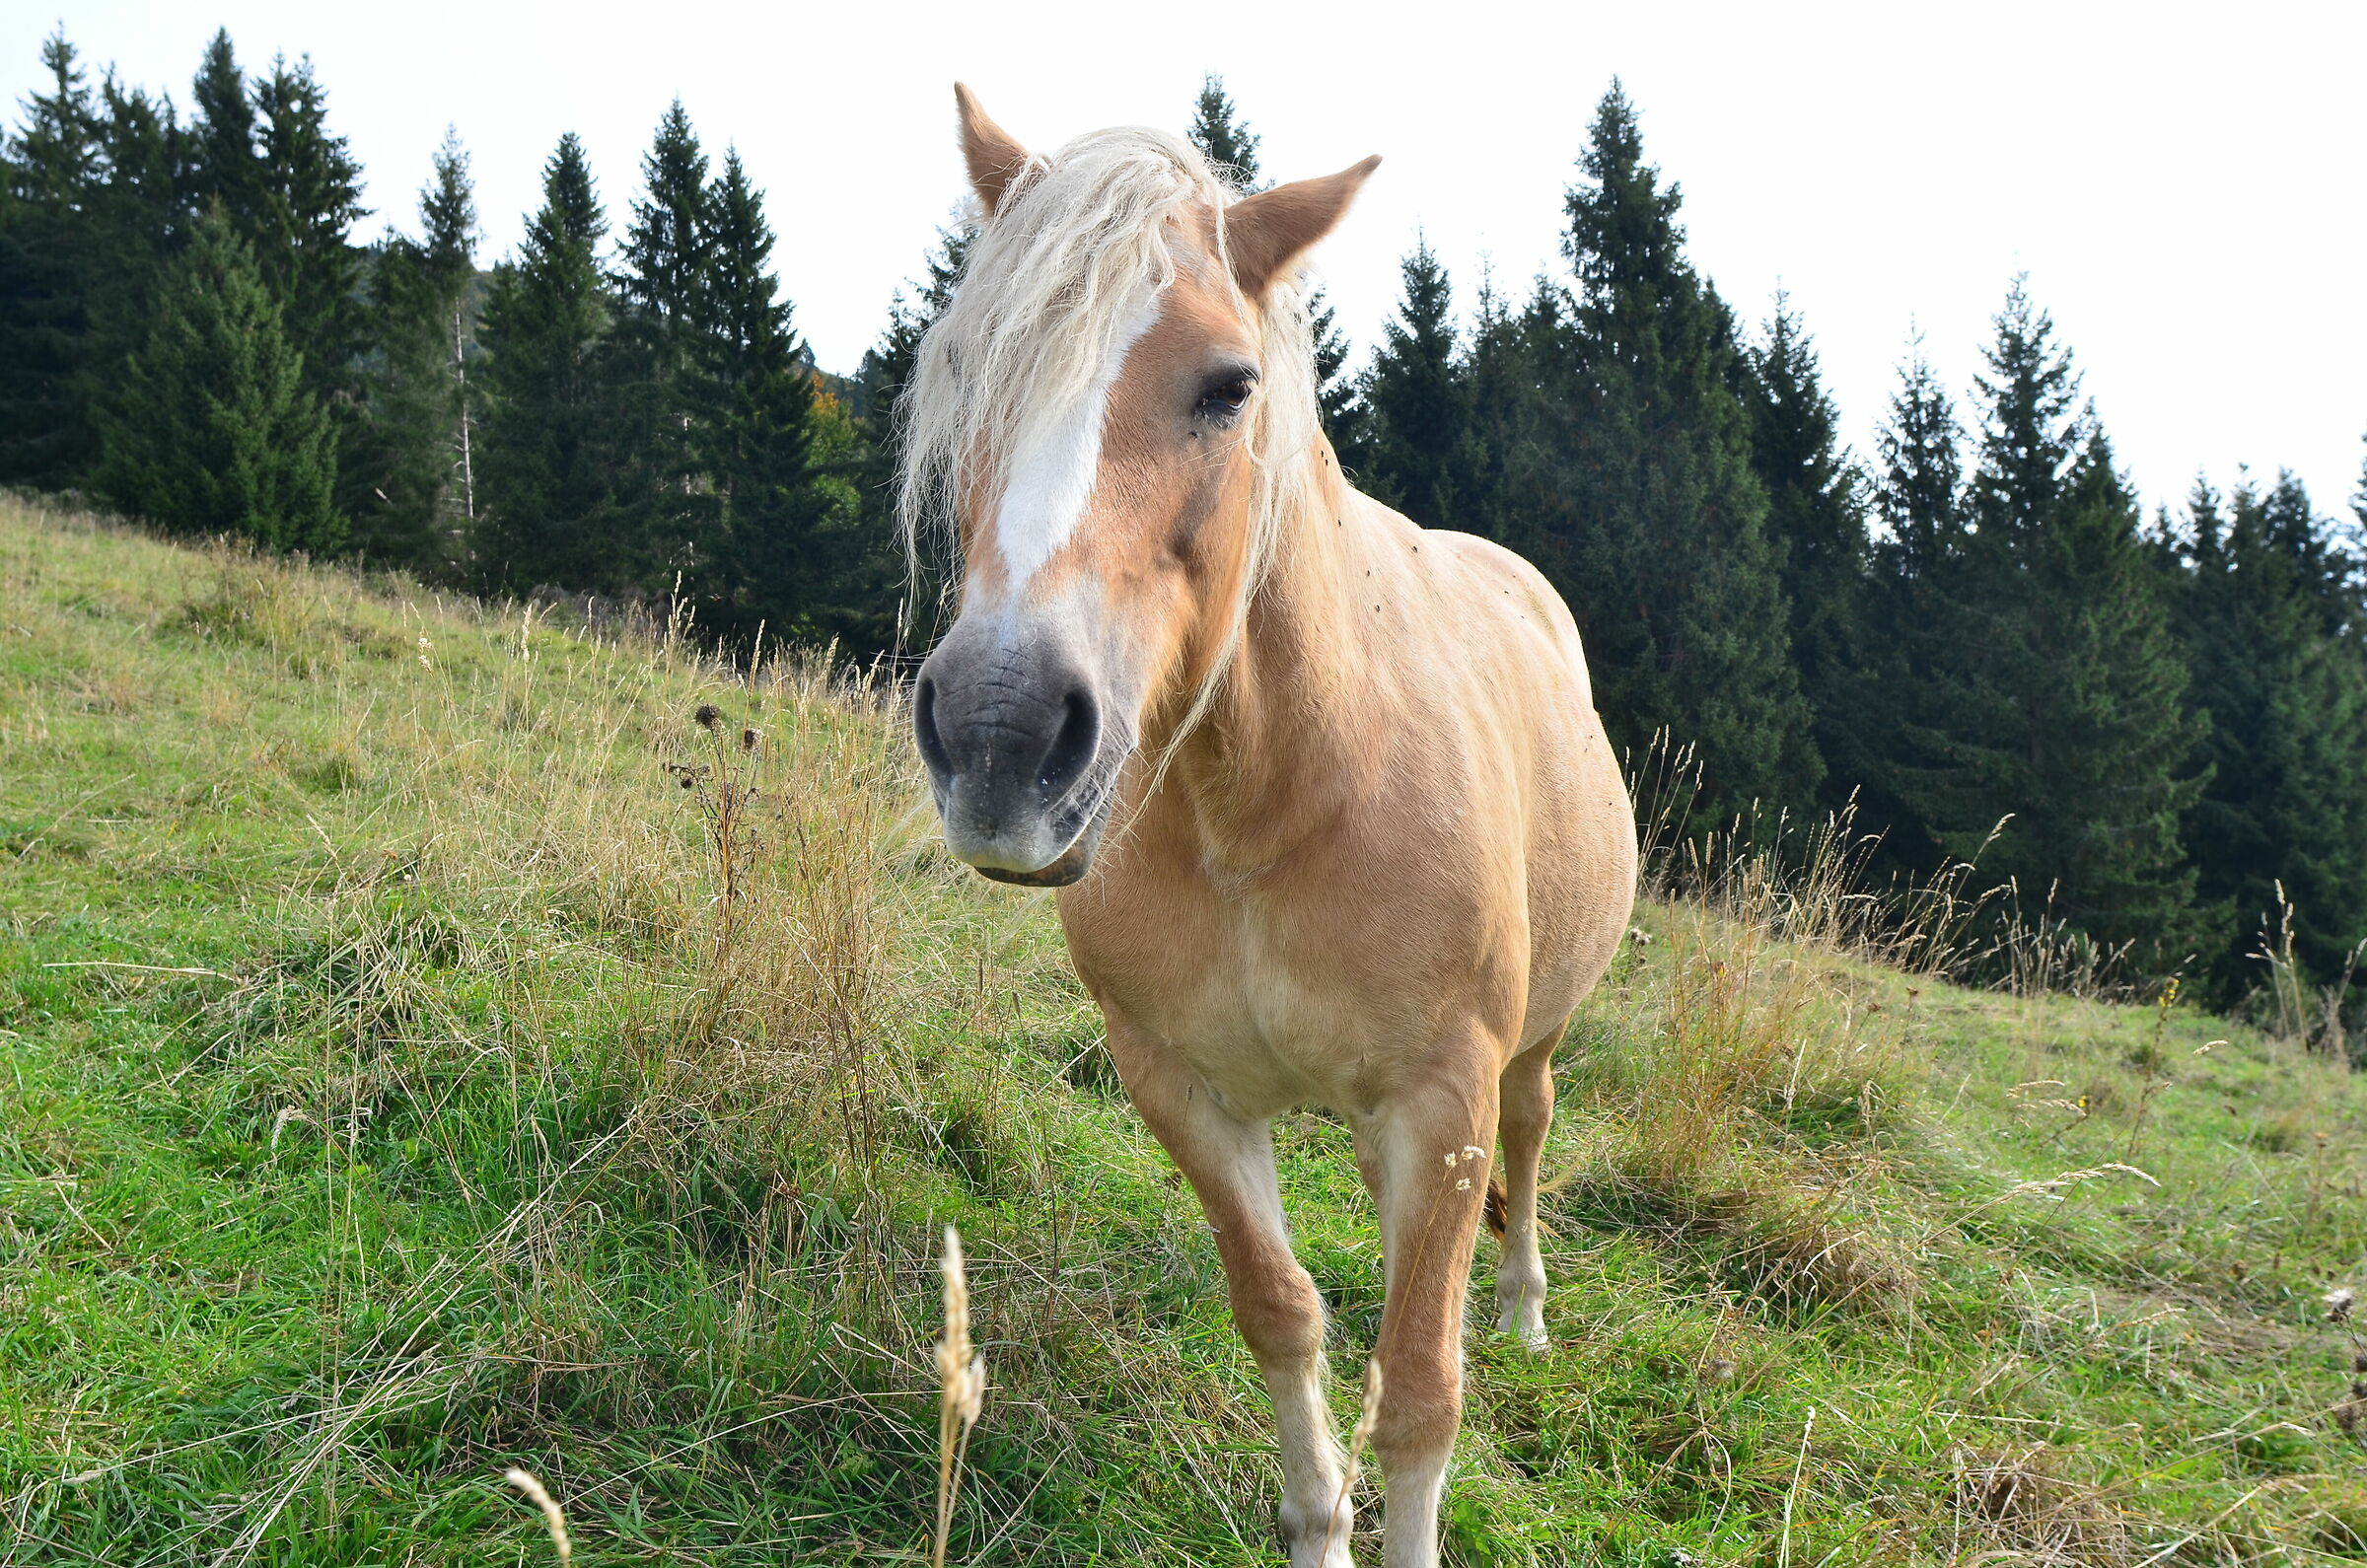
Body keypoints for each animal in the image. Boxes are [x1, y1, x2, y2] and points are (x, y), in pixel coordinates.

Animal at [903, 85, 1637, 1568]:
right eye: (963, 368)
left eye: (1229, 386)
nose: (1003, 732)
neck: (1273, 804)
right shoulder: (1180, 1088)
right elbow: (1283, 1312)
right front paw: (1319, 1518)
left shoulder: (1445, 1094)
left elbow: (1421, 1389)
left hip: (1527, 1054)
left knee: (1530, 1142)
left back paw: (1524, 1307)